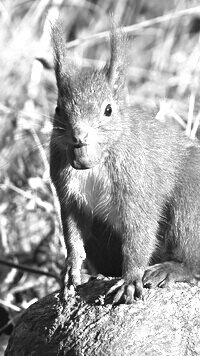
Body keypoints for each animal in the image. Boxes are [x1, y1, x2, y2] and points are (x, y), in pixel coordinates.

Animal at [49, 25, 200, 304]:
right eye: (58, 109)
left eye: (108, 110)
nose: (79, 136)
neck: (96, 162)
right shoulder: (69, 195)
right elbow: (73, 233)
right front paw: (72, 268)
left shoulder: (137, 185)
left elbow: (139, 232)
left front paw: (130, 279)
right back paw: (95, 275)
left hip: (190, 203)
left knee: (192, 259)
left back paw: (169, 269)